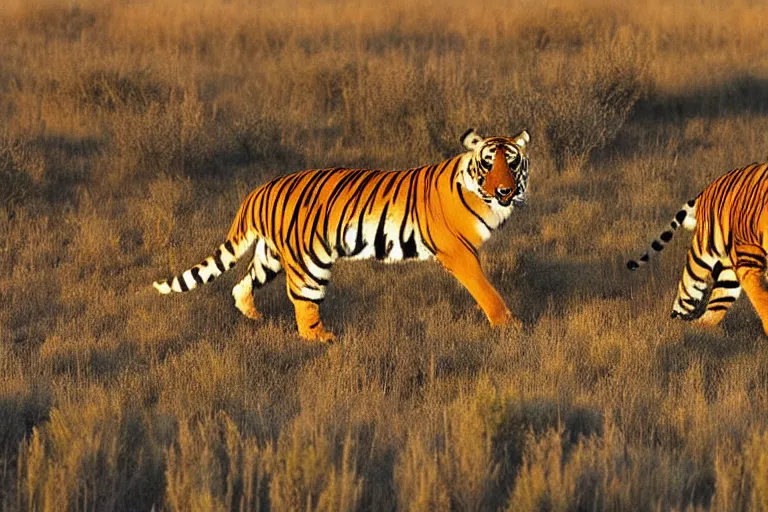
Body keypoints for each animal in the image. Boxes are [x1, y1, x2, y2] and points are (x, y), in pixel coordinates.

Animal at [153, 128, 532, 342]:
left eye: (512, 162)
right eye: (488, 162)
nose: (504, 191)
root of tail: (258, 191)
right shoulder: (458, 251)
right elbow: (486, 290)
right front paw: (509, 326)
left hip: (271, 255)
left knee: (241, 284)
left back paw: (253, 315)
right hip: (309, 262)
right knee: (303, 303)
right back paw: (324, 339)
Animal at [628, 162, 768, 334]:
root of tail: (708, 188)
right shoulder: (750, 262)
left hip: (730, 263)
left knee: (718, 300)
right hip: (709, 253)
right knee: (686, 294)